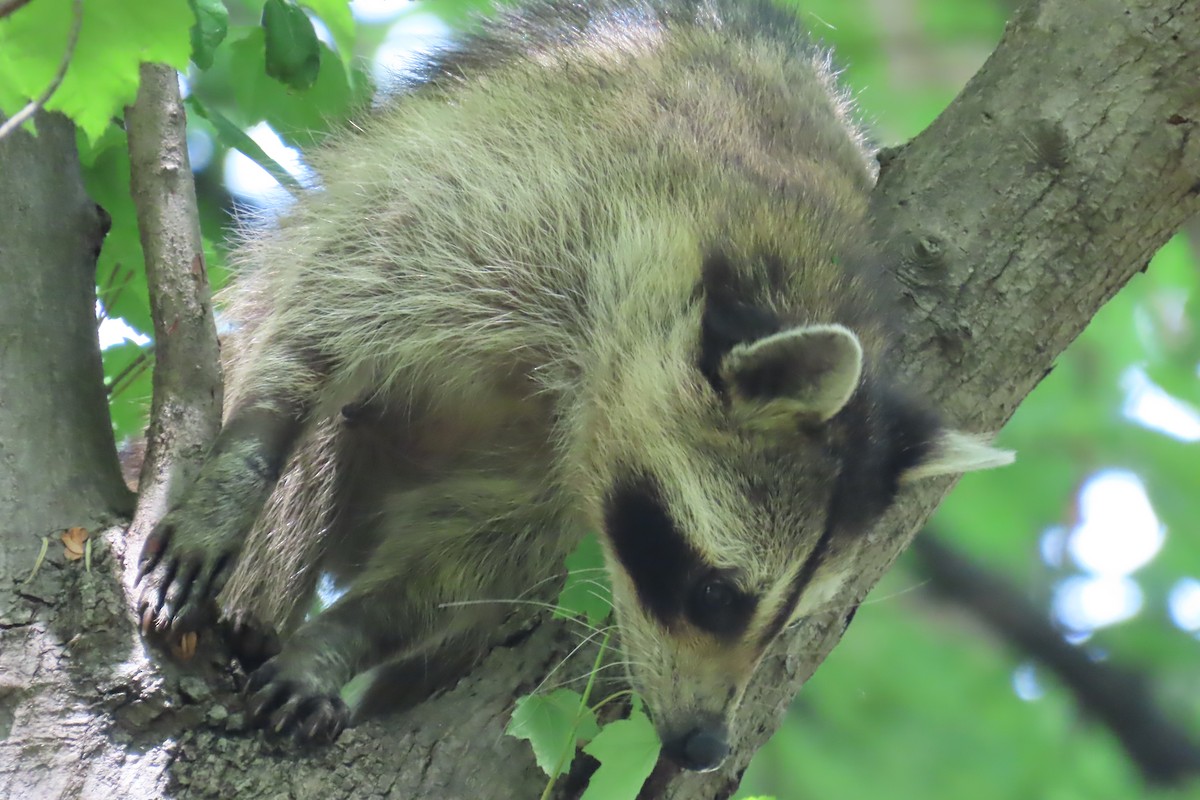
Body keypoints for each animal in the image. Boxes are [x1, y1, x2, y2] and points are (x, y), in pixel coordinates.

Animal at [135, 0, 1011, 773]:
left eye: (797, 617)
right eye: (718, 594)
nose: (703, 747)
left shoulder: (570, 459)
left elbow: (470, 558)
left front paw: (342, 638)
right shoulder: (515, 192)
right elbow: (327, 312)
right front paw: (236, 477)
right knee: (326, 428)